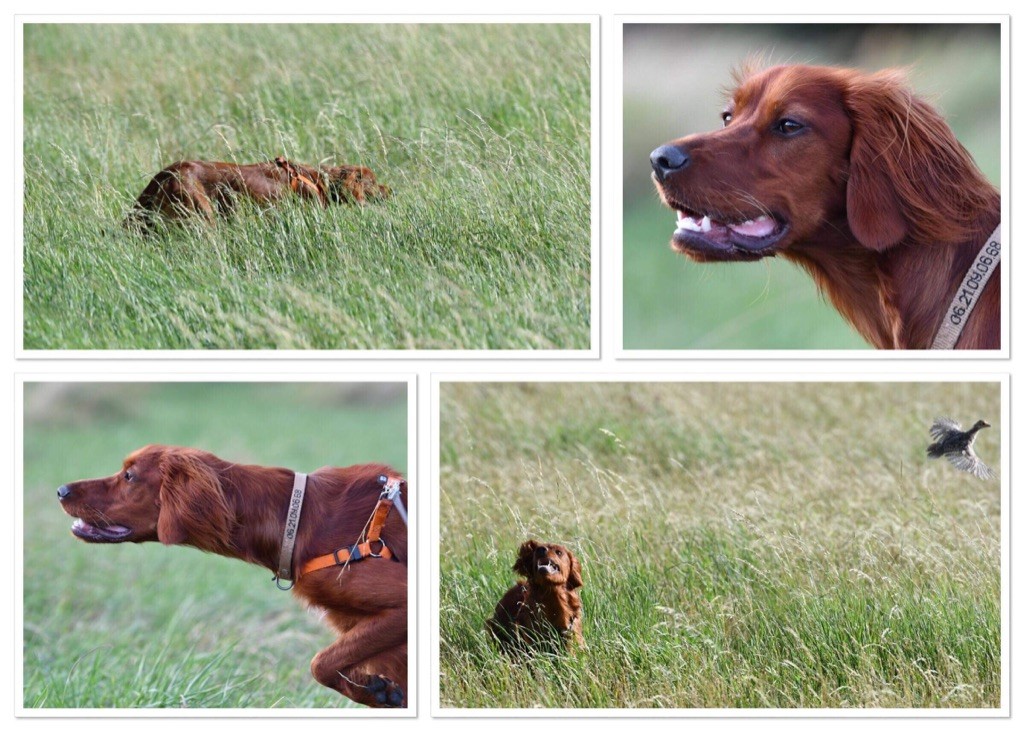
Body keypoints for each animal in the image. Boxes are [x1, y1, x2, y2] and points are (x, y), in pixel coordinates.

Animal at [58, 444, 405, 704]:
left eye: (129, 475)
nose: (61, 490)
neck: (297, 519)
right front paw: (374, 688)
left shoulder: (399, 609)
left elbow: (320, 663)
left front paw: (372, 690)